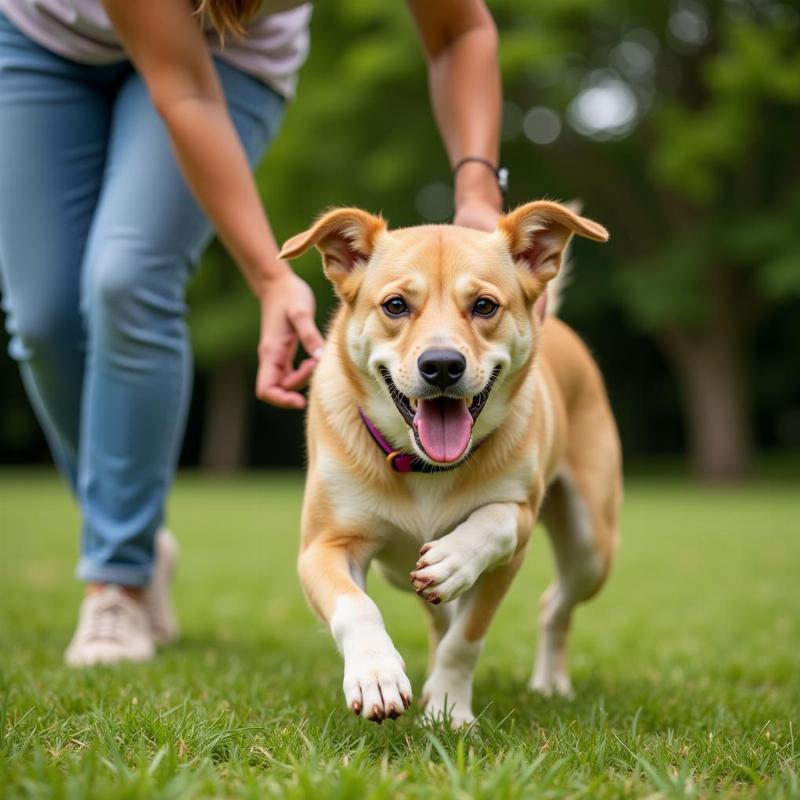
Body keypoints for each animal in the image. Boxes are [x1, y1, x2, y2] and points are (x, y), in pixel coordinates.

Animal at [282, 200, 624, 724]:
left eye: (484, 305)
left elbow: (468, 630)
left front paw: (448, 710)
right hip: (396, 568)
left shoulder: (518, 529)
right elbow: (357, 607)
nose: (442, 365)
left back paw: (549, 682)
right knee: (438, 611)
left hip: (591, 544)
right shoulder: (324, 543)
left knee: (553, 604)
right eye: (395, 305)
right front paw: (377, 676)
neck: (426, 467)